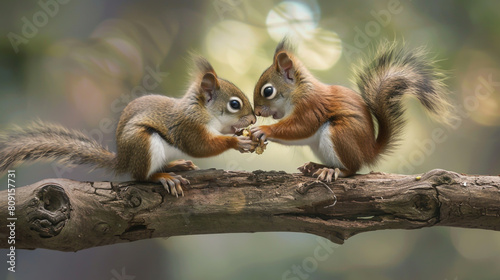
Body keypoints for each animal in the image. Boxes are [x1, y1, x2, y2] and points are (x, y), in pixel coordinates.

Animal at [0, 56, 256, 197]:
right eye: (234, 104)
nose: (253, 120)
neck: (204, 110)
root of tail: (123, 160)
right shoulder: (188, 125)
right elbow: (200, 146)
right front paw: (237, 141)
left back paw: (177, 165)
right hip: (143, 142)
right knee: (142, 176)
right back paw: (163, 177)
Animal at [252, 38, 452, 182]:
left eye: (268, 91)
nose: (258, 114)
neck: (299, 91)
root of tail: (369, 151)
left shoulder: (311, 107)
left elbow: (300, 127)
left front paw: (262, 130)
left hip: (340, 134)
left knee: (352, 169)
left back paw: (332, 171)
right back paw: (315, 166)